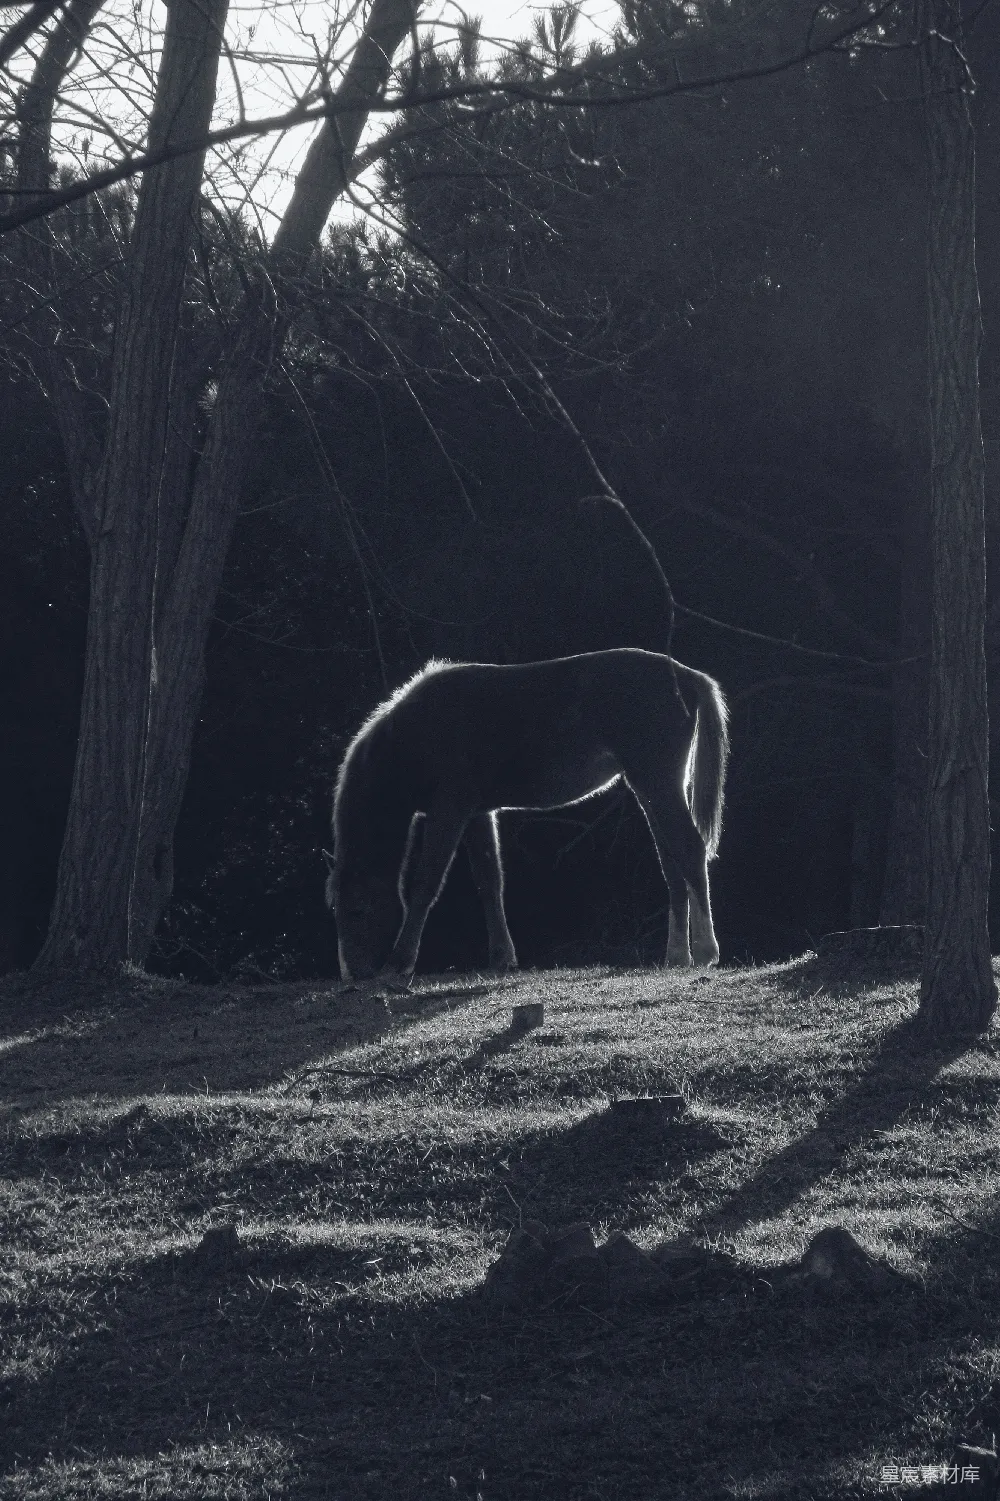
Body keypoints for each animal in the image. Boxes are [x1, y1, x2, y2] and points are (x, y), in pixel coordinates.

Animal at [324, 648, 728, 985]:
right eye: (336, 911)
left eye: (358, 909)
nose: (352, 976)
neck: (416, 735)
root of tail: (685, 676)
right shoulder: (477, 814)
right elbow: (490, 882)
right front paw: (502, 959)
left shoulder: (449, 812)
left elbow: (425, 884)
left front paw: (400, 962)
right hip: (651, 790)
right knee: (673, 864)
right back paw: (677, 955)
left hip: (657, 784)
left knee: (690, 850)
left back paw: (705, 951)